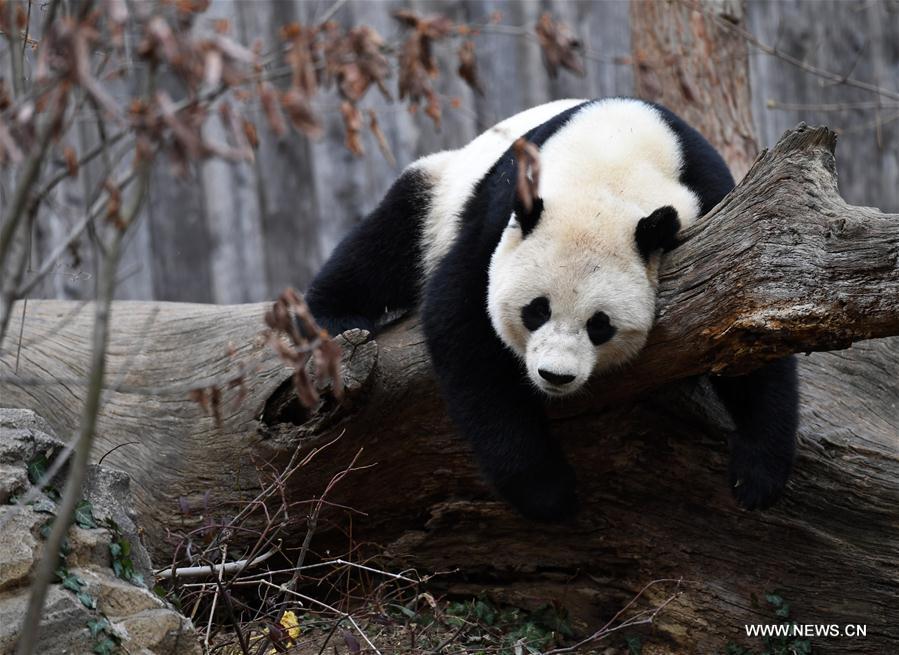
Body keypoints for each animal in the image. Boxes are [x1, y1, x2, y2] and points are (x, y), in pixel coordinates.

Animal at [306, 98, 799, 521]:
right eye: (535, 311)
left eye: (599, 325)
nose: (555, 376)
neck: (609, 161)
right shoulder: (498, 217)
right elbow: (461, 325)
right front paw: (547, 491)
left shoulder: (712, 201)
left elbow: (746, 306)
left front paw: (757, 474)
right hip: (440, 189)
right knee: (385, 241)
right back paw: (332, 317)